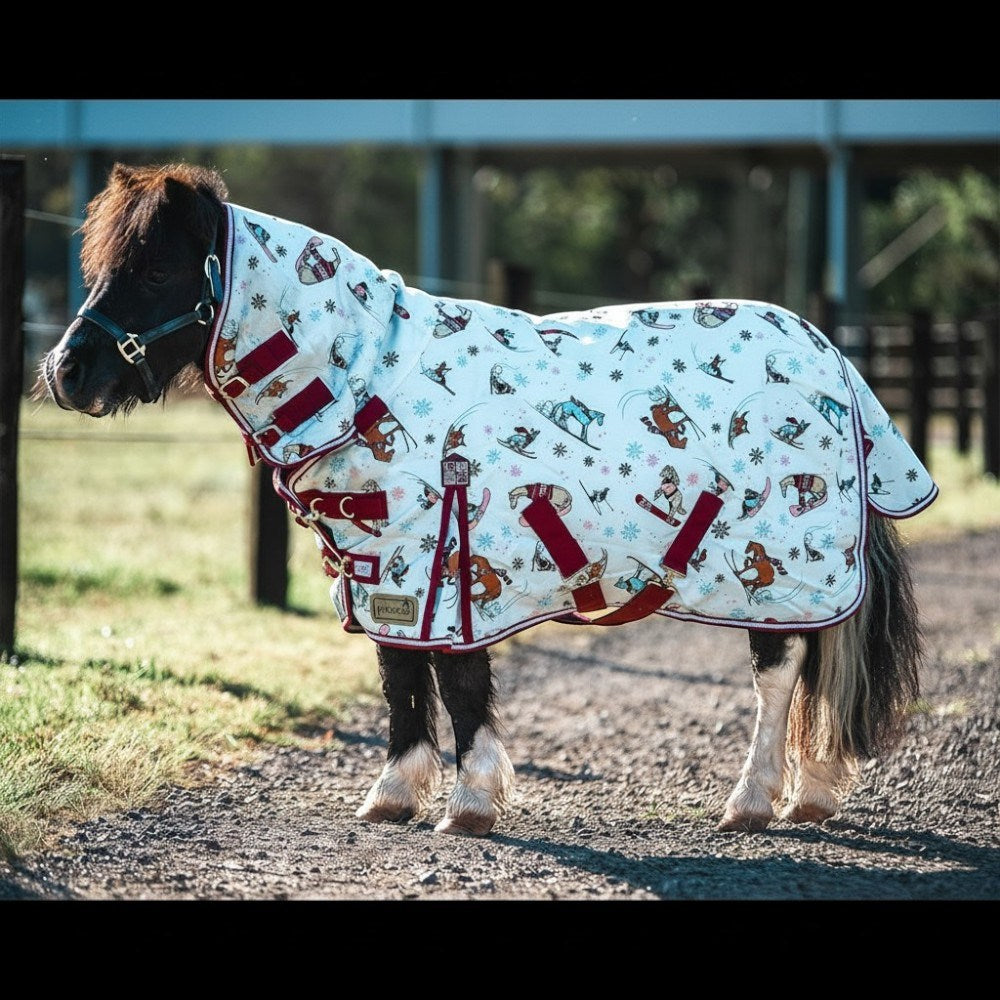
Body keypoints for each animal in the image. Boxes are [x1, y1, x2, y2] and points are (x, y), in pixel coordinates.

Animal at [40, 162, 934, 838]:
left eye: (156, 268)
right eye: (100, 267)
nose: (64, 372)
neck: (373, 381)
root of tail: (828, 354)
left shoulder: (451, 559)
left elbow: (460, 682)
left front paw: (468, 803)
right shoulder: (386, 566)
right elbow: (399, 673)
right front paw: (395, 794)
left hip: (778, 572)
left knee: (779, 675)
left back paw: (750, 803)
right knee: (813, 671)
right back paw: (808, 795)